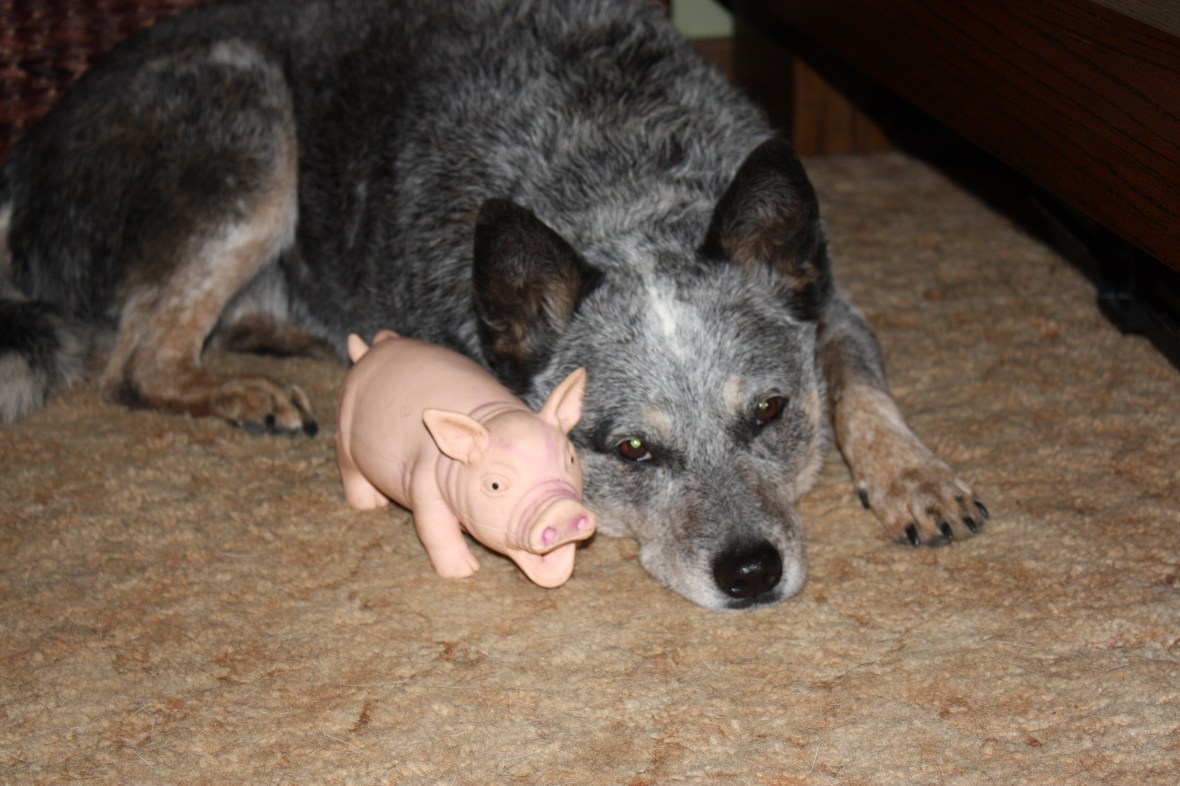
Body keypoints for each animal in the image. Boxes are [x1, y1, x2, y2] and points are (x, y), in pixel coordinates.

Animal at [0, 0, 987, 609]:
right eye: (632, 449)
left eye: (771, 411)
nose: (751, 571)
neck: (618, 185)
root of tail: (27, 159)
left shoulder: (828, 303)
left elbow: (860, 389)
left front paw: (916, 478)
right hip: (245, 108)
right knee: (135, 359)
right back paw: (244, 386)